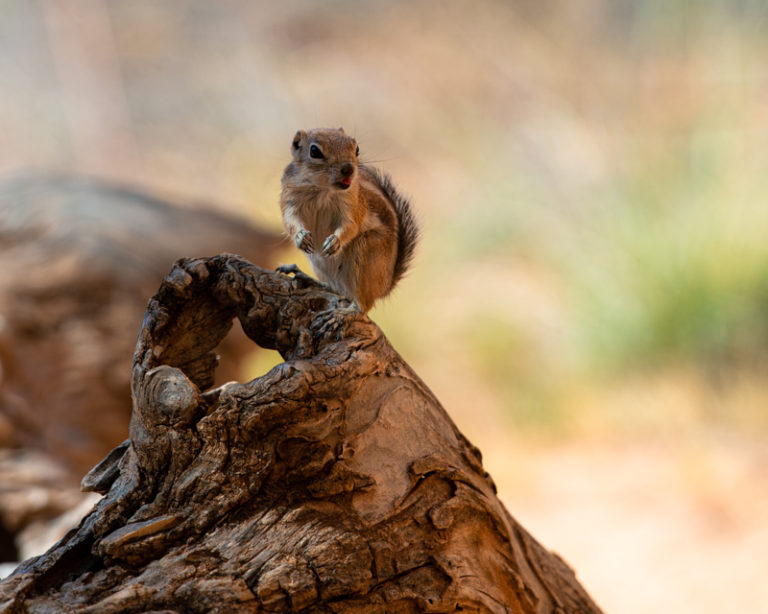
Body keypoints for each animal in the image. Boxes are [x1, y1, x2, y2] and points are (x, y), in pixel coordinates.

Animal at [278, 128, 416, 316]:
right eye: (314, 151)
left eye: (356, 148)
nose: (348, 168)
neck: (322, 189)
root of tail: (385, 287)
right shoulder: (289, 198)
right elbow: (289, 221)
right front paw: (300, 237)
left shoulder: (352, 204)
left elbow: (351, 226)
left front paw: (335, 241)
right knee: (336, 289)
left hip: (366, 254)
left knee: (363, 305)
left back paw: (346, 313)